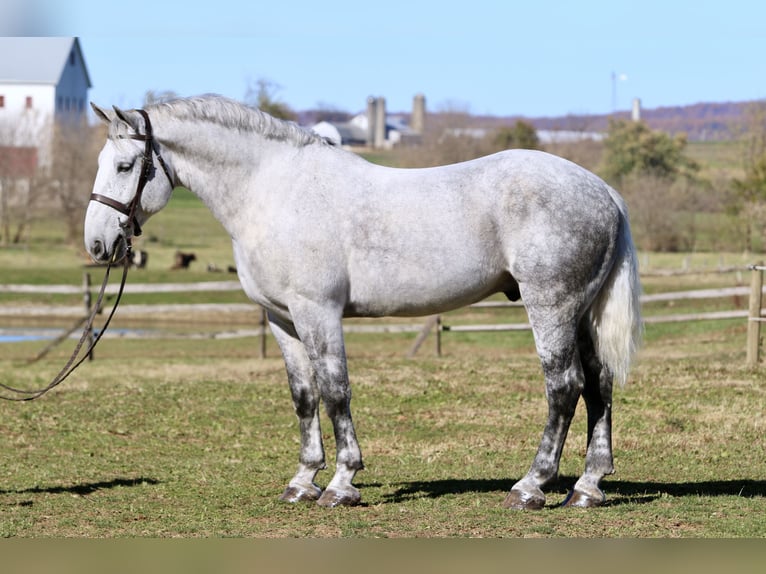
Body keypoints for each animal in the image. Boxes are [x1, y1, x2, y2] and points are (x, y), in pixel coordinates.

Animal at [84, 95, 641, 510]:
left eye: (125, 165)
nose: (97, 244)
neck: (274, 191)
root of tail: (605, 192)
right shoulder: (282, 319)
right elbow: (303, 396)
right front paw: (302, 481)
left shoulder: (318, 312)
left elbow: (335, 391)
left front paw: (341, 483)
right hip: (581, 313)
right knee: (599, 384)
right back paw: (587, 488)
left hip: (551, 308)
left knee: (564, 387)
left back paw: (531, 487)